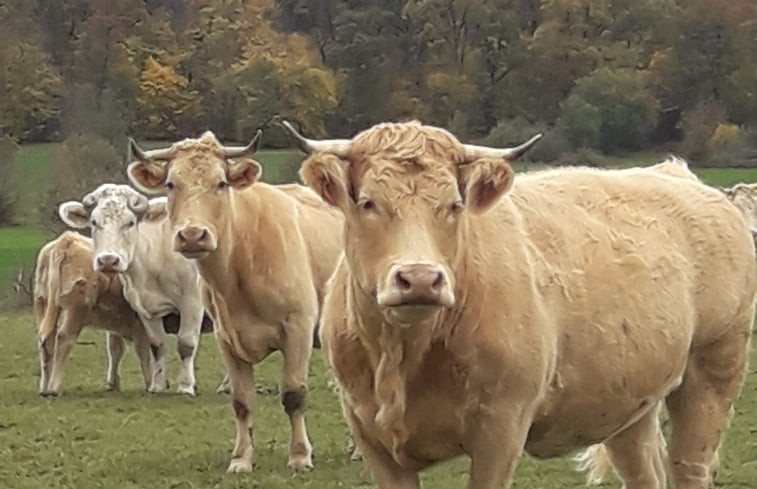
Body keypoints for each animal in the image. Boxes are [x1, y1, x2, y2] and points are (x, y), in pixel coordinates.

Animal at [57, 184, 211, 396]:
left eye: (130, 222)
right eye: (94, 222)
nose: (108, 260)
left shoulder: (192, 301)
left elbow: (186, 344)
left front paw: (186, 386)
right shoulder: (145, 308)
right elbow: (157, 345)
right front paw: (157, 385)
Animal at [126, 130, 342, 472]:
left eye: (221, 183)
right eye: (171, 184)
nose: (192, 235)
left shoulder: (298, 327)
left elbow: (294, 394)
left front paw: (299, 456)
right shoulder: (226, 337)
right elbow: (241, 402)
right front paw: (241, 458)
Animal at [280, 121, 752, 488]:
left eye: (454, 205)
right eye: (367, 202)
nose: (420, 279)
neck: (403, 356)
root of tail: (675, 174)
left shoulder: (500, 431)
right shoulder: (372, 437)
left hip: (713, 371)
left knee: (690, 466)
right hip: (630, 401)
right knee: (645, 472)